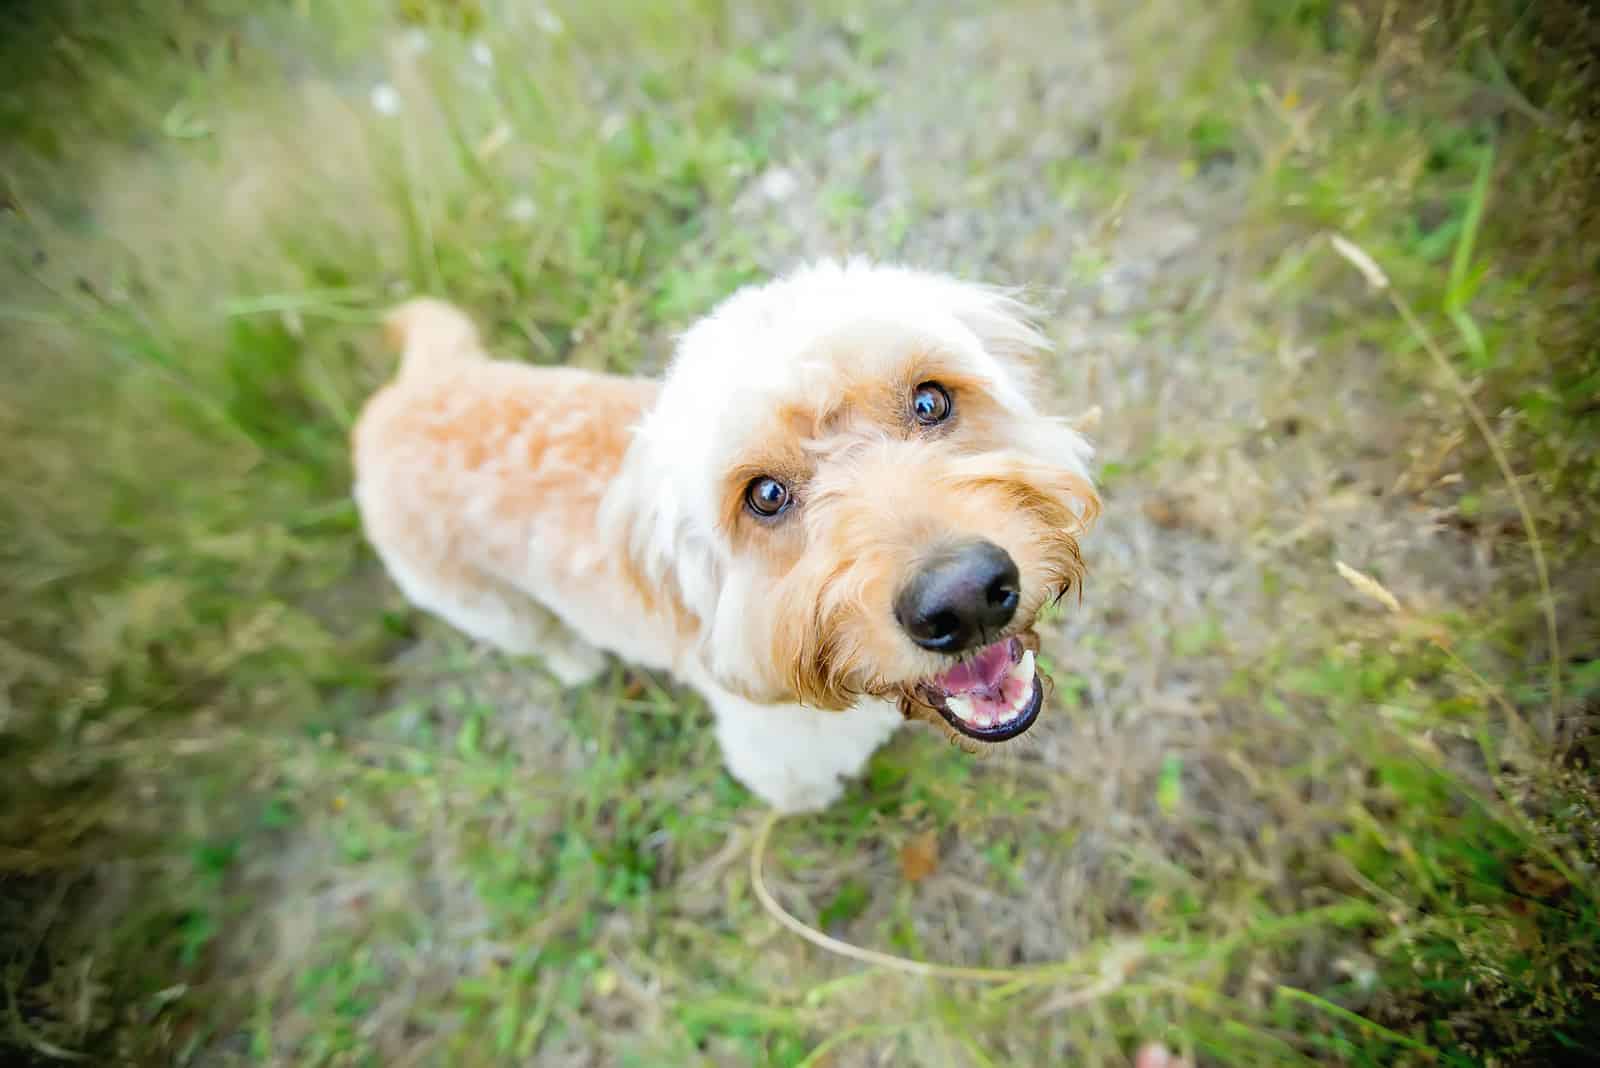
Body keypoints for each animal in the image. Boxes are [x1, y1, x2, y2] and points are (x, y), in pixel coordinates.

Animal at [350, 259, 1100, 808]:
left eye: (930, 400)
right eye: (764, 496)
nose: (965, 598)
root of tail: (412, 386)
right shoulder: (778, 751)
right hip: (477, 601)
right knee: (536, 635)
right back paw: (575, 660)